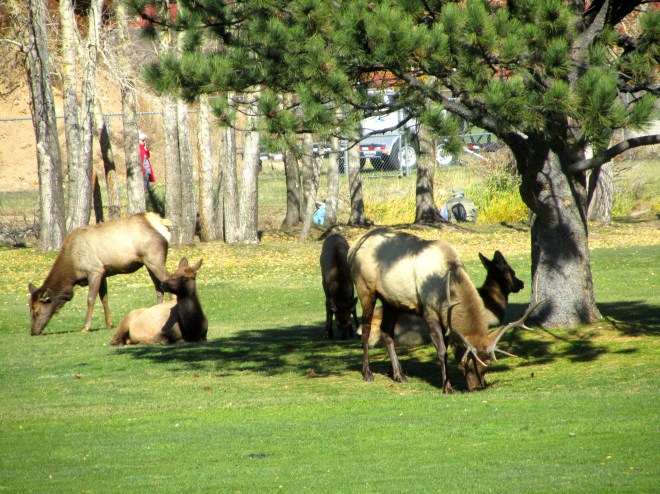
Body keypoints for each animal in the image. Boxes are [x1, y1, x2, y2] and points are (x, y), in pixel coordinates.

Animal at [28, 213, 170, 336]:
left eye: (36, 311)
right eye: (29, 309)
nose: (33, 332)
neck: (73, 268)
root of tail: (161, 223)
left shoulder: (94, 271)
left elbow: (91, 299)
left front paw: (85, 327)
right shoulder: (103, 273)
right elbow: (104, 298)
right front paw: (109, 324)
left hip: (154, 259)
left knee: (167, 280)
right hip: (148, 263)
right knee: (159, 288)